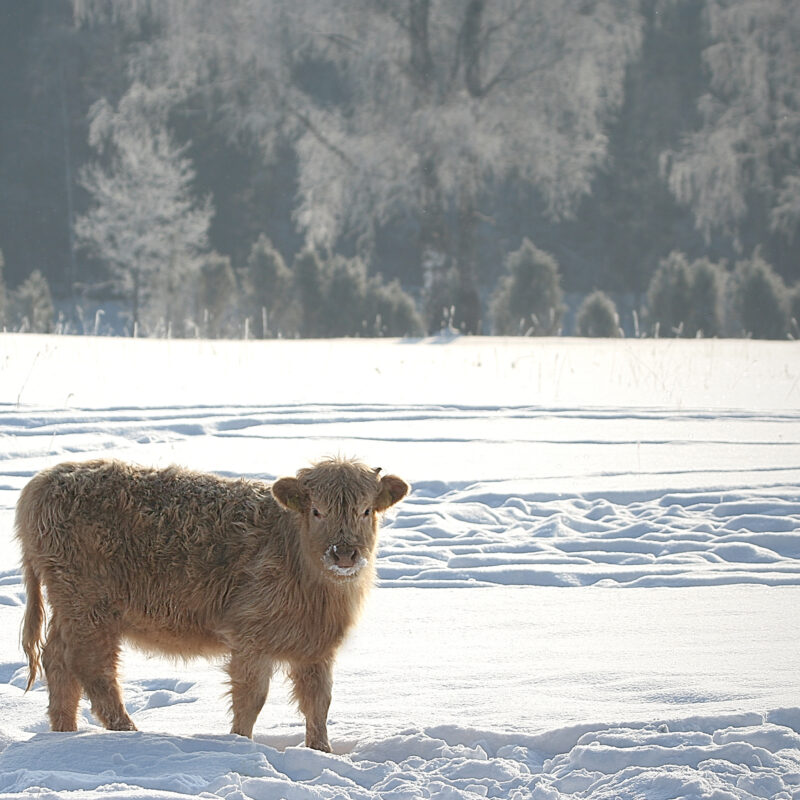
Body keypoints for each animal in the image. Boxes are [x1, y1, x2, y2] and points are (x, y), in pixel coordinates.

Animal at [16, 457, 409, 751]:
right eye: (316, 511)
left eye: (366, 511)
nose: (344, 554)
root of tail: (45, 480)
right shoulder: (251, 638)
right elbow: (251, 698)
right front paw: (239, 744)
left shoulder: (316, 648)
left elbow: (318, 704)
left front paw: (322, 752)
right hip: (88, 604)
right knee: (93, 668)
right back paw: (128, 732)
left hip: (70, 606)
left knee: (58, 660)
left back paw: (64, 733)